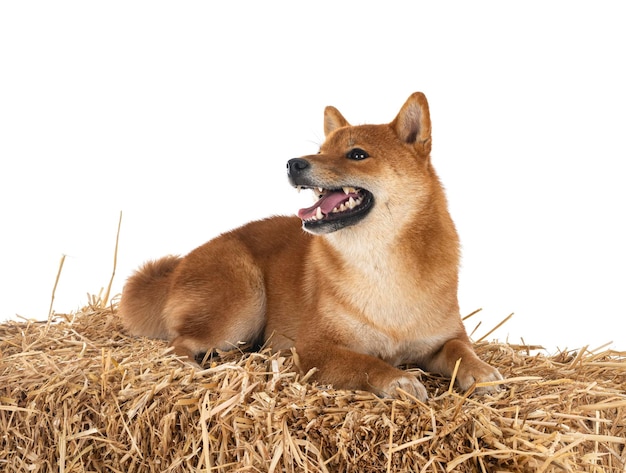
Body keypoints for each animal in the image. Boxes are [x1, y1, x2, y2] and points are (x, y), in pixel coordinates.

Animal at [118, 91, 502, 398]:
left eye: (357, 155)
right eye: (320, 150)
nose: (293, 163)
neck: (380, 265)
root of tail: (180, 266)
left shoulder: (443, 337)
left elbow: (461, 350)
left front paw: (480, 371)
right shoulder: (314, 349)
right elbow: (364, 362)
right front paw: (398, 379)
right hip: (242, 303)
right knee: (177, 344)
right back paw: (193, 369)